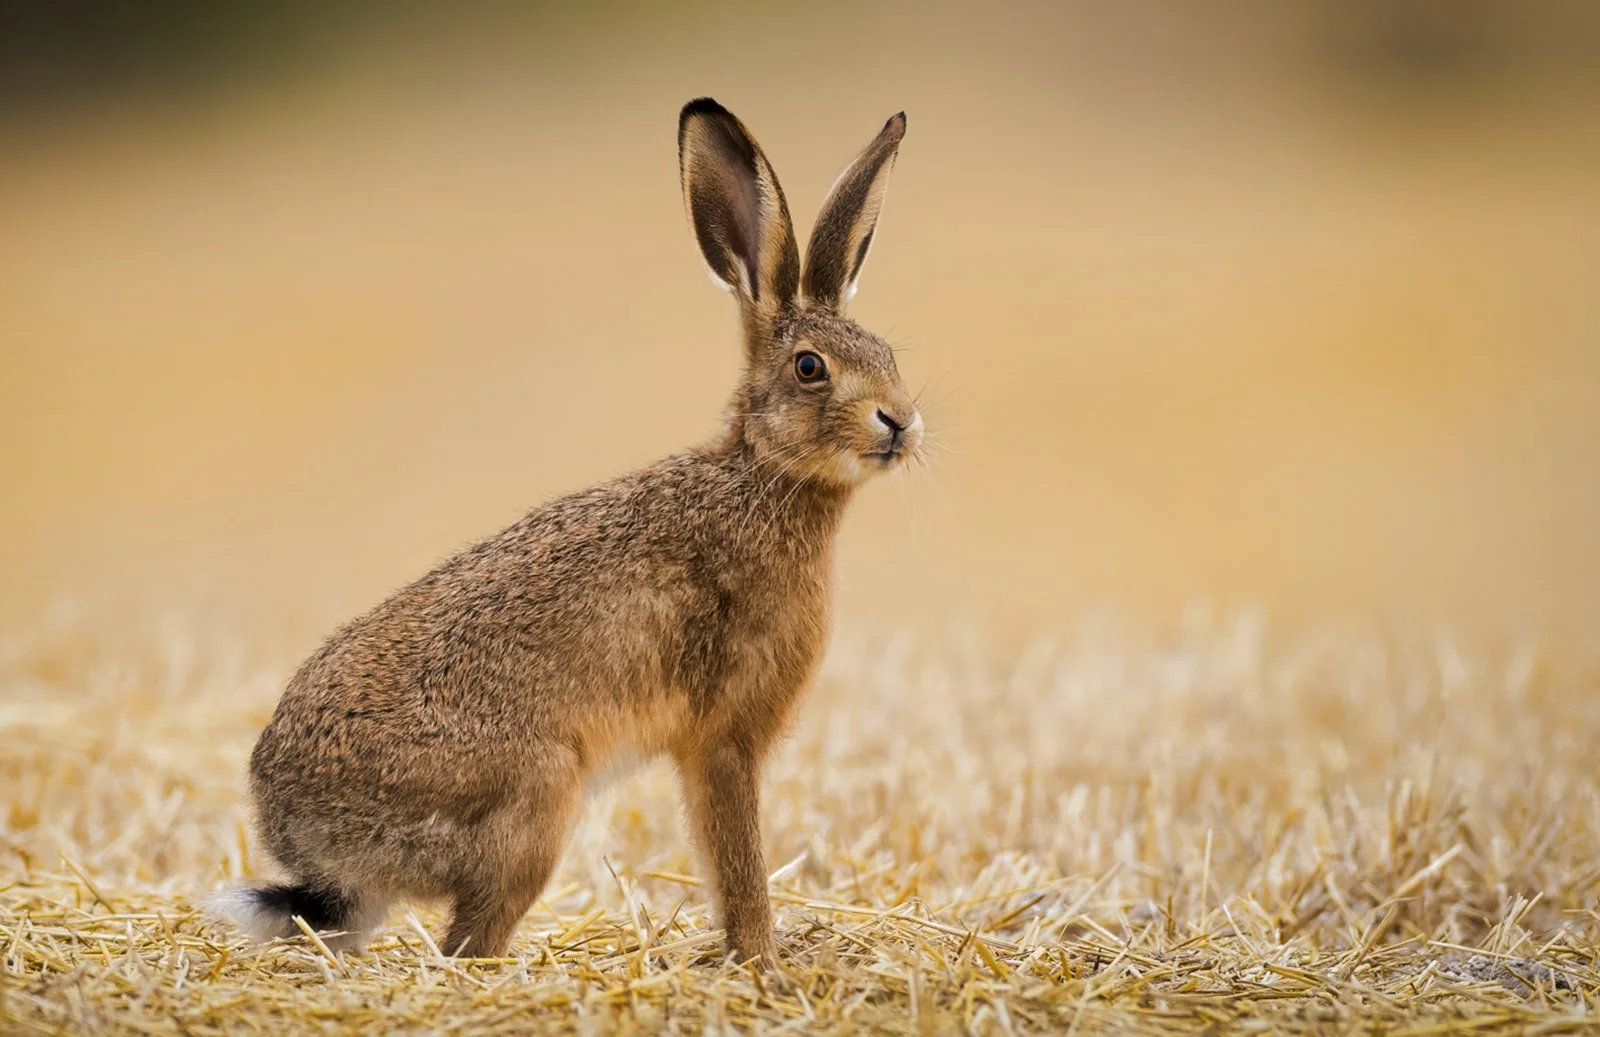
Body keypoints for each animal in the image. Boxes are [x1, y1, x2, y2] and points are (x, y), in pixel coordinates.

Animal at [206, 97, 921, 966]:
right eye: (810, 368)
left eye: (886, 352)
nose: (899, 422)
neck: (762, 477)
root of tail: (307, 844)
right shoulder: (722, 739)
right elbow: (736, 859)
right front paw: (764, 964)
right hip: (537, 798)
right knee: (467, 944)